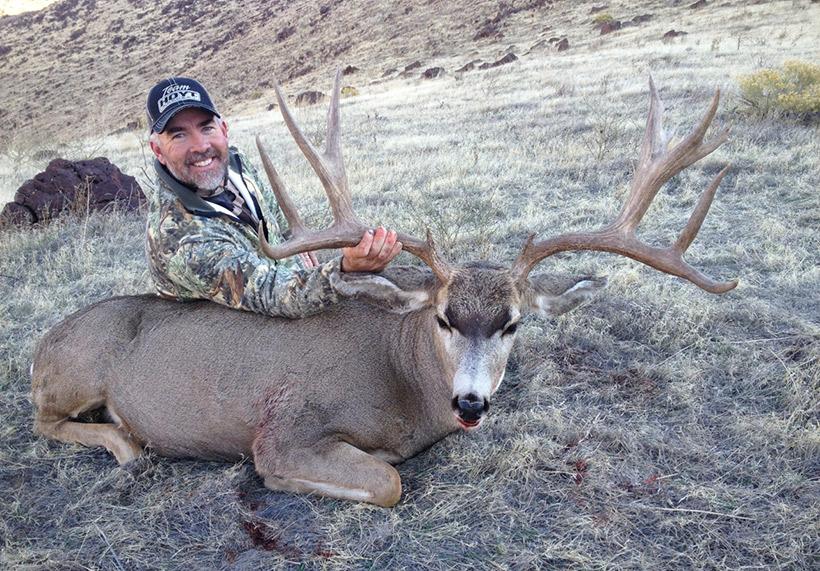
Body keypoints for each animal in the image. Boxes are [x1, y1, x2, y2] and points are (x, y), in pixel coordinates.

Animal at [31, 71, 737, 507]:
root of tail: (40, 347)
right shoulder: (285, 426)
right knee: (44, 419)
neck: (403, 382)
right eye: (445, 318)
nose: (471, 403)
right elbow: (388, 481)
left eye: (512, 323)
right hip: (77, 375)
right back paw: (127, 445)